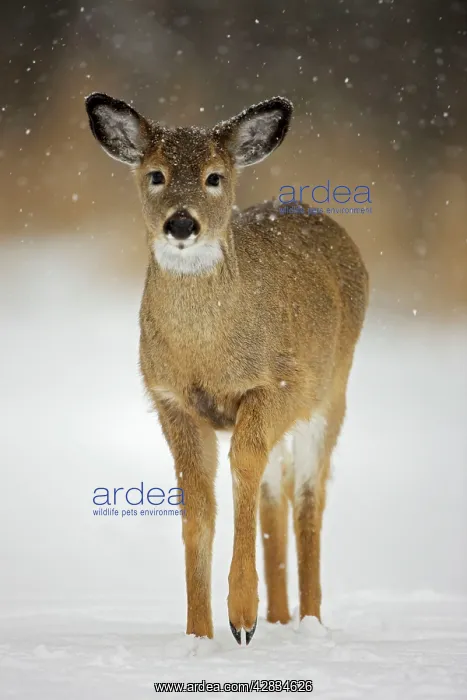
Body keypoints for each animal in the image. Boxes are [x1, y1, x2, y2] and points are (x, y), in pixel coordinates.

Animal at [85, 92, 369, 646]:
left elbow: (244, 465)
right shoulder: (170, 400)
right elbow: (198, 501)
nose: (181, 224)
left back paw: (308, 622)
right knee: (277, 492)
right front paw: (200, 633)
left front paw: (241, 616)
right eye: (156, 174)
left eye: (214, 176)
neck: (207, 354)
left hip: (332, 392)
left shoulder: (279, 383)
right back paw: (278, 618)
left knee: (308, 497)